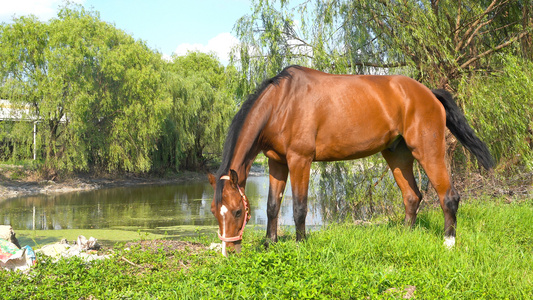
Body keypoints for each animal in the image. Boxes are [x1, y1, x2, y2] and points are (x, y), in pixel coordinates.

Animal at [207, 65, 490, 255]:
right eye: (213, 211)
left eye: (237, 211)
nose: (230, 252)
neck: (282, 103)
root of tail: (428, 93)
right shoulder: (277, 163)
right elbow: (272, 206)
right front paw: (269, 243)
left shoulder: (300, 161)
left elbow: (299, 208)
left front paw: (301, 244)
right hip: (397, 155)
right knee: (412, 196)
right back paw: (405, 235)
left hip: (427, 150)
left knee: (449, 196)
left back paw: (449, 243)